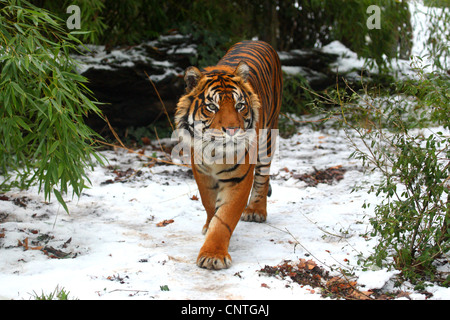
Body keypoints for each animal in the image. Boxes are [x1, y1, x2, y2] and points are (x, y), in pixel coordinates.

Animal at [175, 40, 282, 270]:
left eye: (239, 105)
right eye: (212, 106)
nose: (232, 129)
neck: (216, 152)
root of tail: (257, 40)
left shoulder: (238, 179)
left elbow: (224, 218)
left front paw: (213, 255)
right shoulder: (202, 173)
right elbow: (209, 204)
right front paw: (208, 225)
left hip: (268, 137)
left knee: (263, 177)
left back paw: (256, 211)